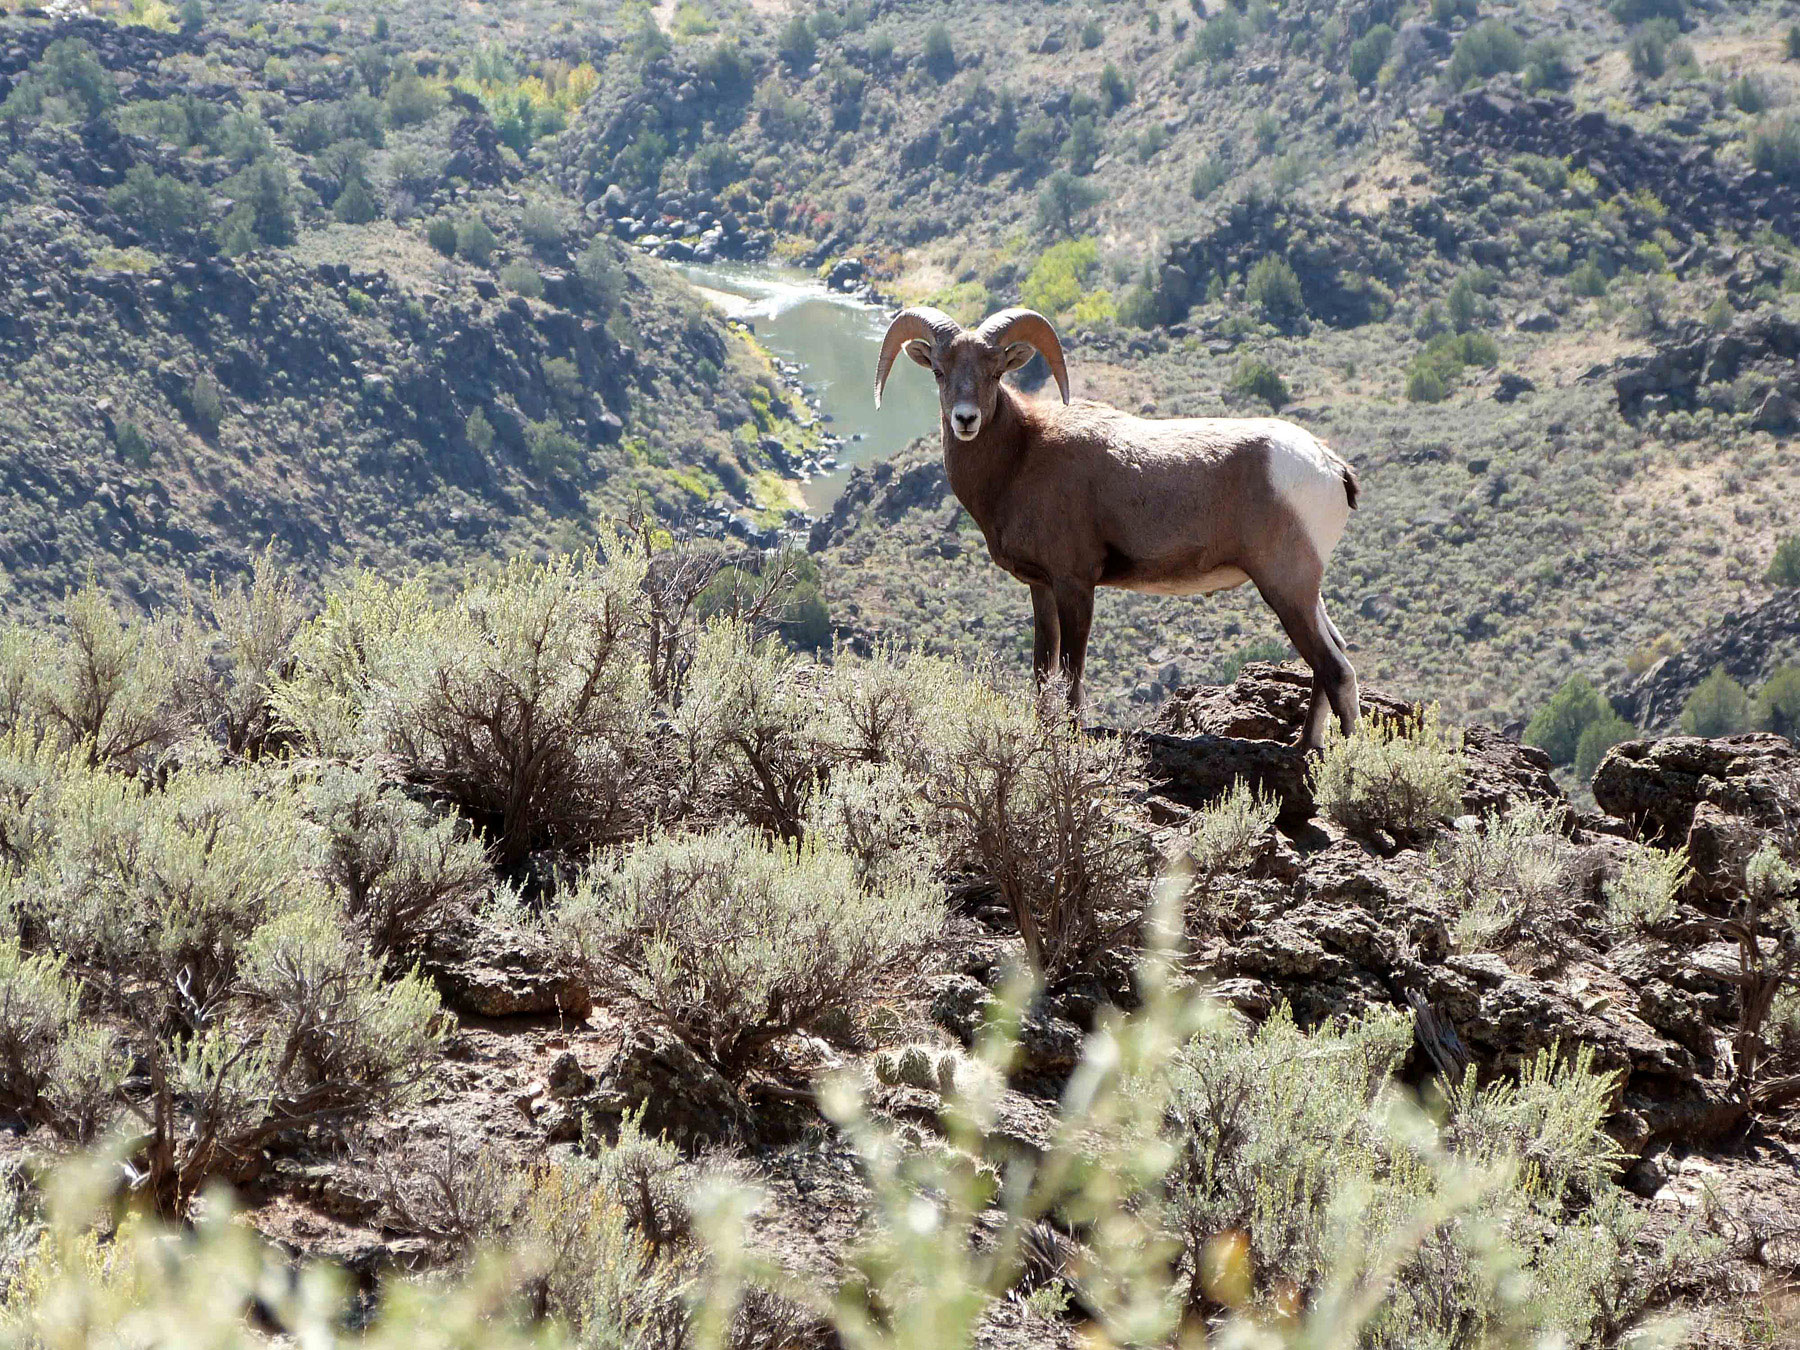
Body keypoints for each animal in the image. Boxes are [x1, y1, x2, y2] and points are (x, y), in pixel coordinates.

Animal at [873, 305, 1361, 749]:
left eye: (995, 373)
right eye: (939, 371)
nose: (966, 419)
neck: (1022, 457)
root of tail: (1329, 466)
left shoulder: (1075, 584)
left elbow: (1072, 671)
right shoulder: (1042, 588)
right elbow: (1042, 670)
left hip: (1285, 586)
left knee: (1333, 668)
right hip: (1305, 591)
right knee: (1334, 658)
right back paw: (1306, 746)